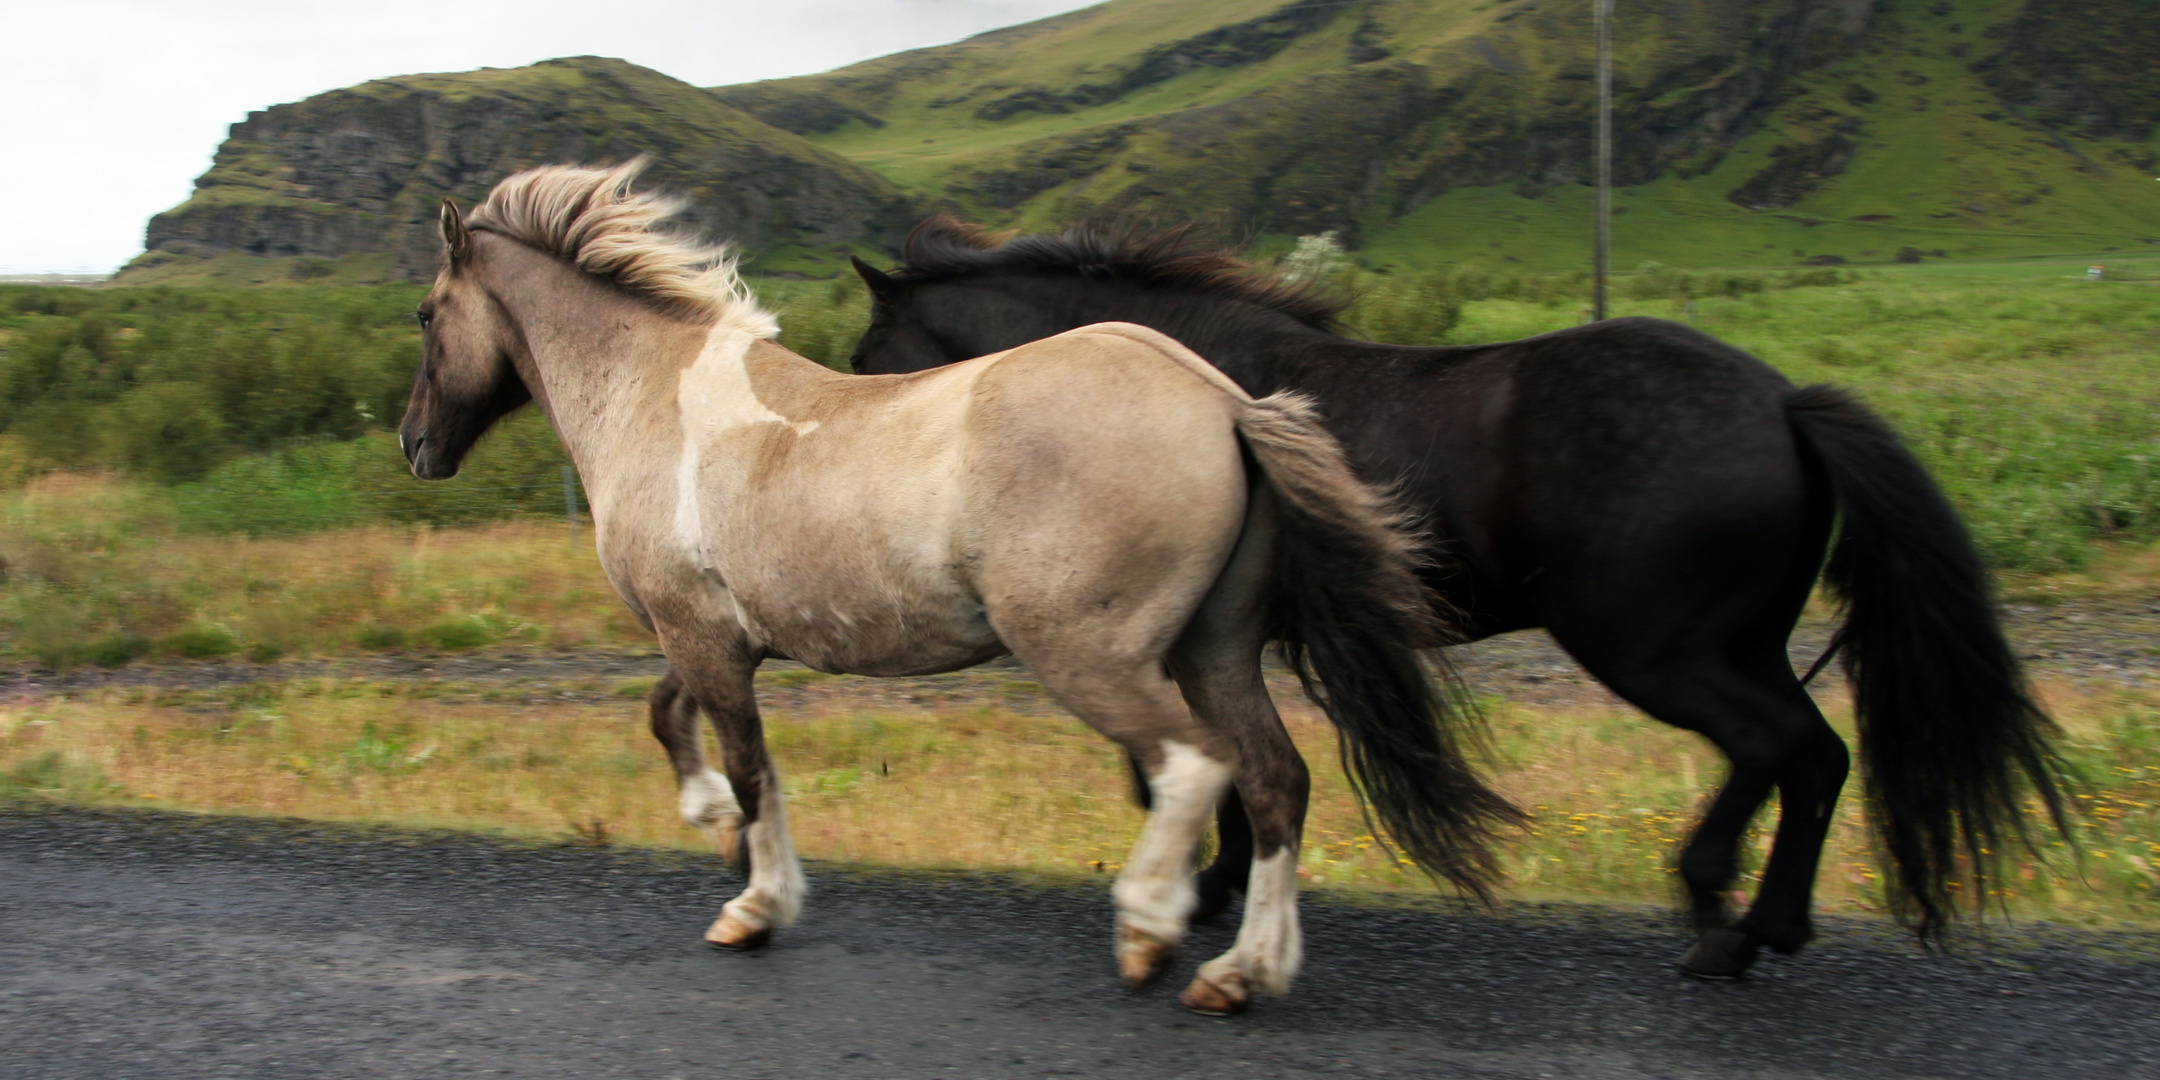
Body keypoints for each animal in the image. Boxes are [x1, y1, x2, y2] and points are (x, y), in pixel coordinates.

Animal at [397, 159, 1512, 1010]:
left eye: (423, 314)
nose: (415, 446)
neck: (657, 400)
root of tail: (1224, 400)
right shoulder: (709, 635)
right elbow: (674, 724)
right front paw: (716, 833)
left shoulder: (703, 638)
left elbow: (750, 766)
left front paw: (753, 906)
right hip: (1216, 648)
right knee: (1277, 780)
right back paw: (1241, 973)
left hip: (1092, 654)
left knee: (1197, 767)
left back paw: (1151, 933)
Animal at [846, 219, 2073, 980]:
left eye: (867, 353)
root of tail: (1782, 402)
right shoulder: (1209, 644)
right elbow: (1226, 766)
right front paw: (1224, 884)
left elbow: (1186, 766)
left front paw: (1194, 894)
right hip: (1743, 644)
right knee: (1812, 758)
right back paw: (1765, 926)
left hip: (1660, 651)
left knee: (1787, 753)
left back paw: (1721, 926)